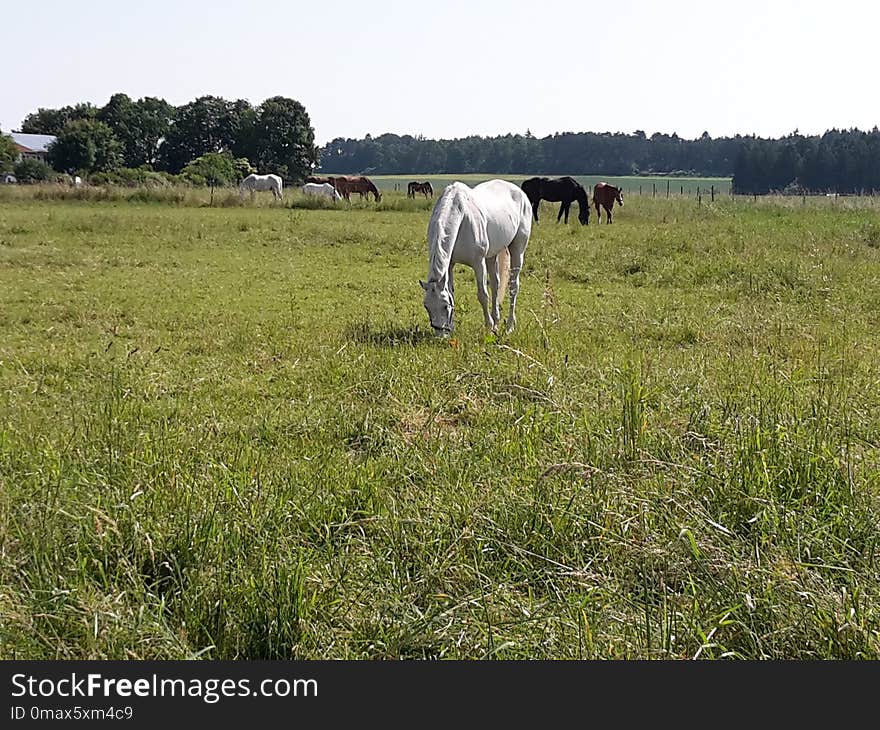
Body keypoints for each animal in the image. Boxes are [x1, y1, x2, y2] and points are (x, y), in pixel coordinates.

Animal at [422, 179, 532, 332]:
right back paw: (496, 321)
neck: (461, 216)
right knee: (496, 284)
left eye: (444, 305)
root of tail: (521, 193)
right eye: (426, 306)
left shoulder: (478, 263)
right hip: (492, 256)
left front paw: (488, 327)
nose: (441, 333)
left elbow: (482, 295)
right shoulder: (449, 264)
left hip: (517, 250)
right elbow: (451, 292)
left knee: (513, 287)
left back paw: (509, 326)